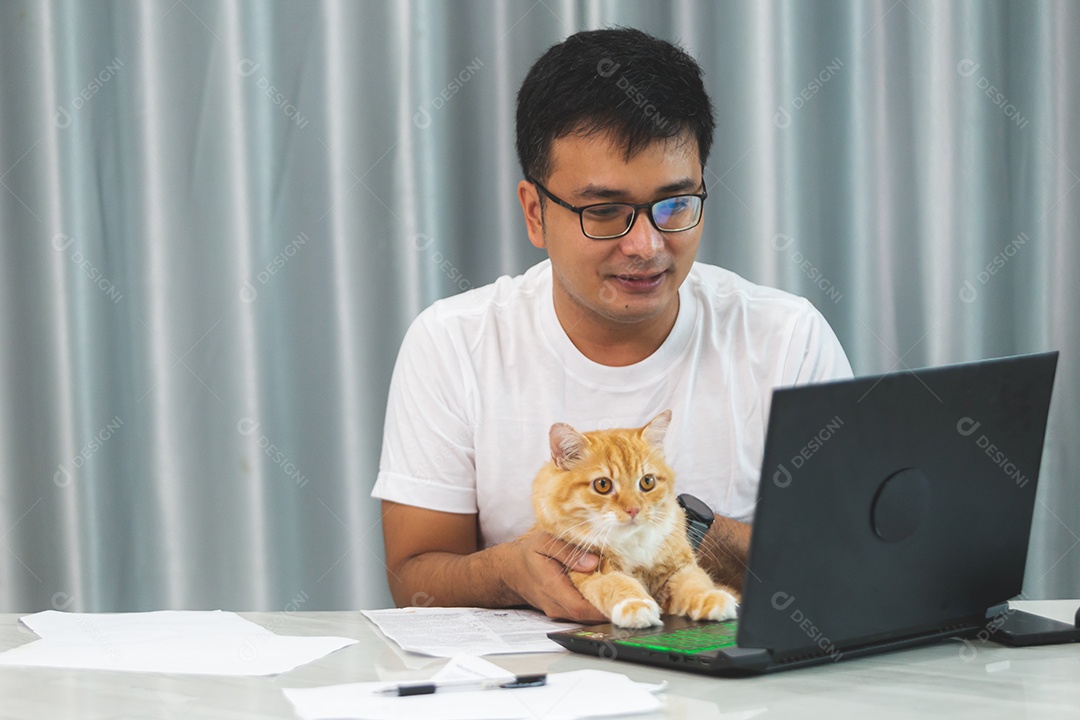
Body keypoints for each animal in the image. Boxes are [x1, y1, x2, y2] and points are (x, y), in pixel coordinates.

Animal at [533, 410, 743, 630]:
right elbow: (618, 584)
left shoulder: (679, 567)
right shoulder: (593, 569)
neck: (632, 541)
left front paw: (710, 598)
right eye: (602, 485)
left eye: (647, 481)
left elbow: (694, 582)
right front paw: (635, 606)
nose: (633, 509)